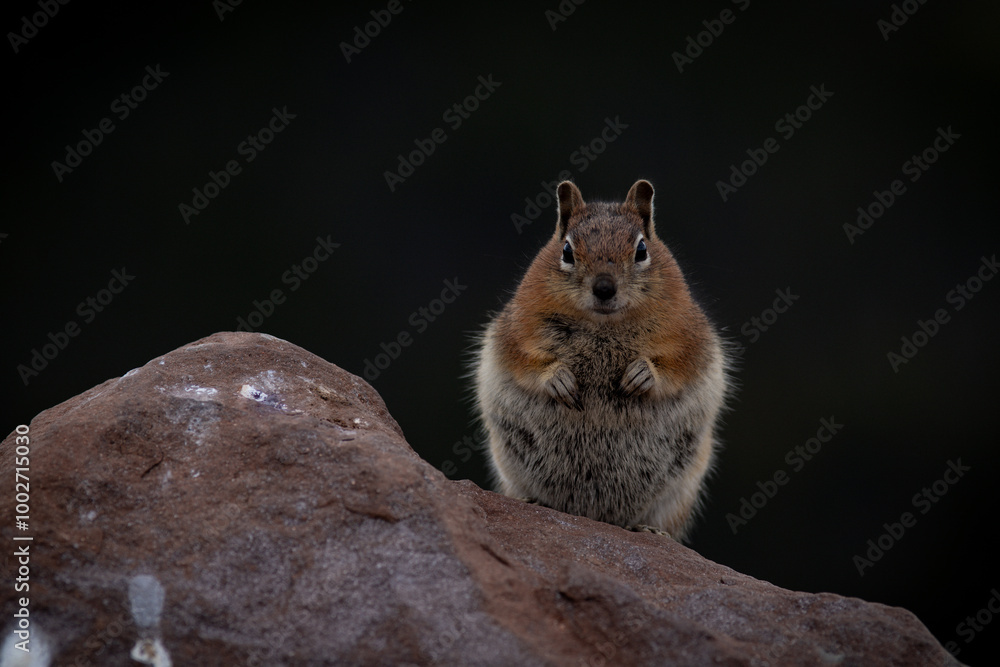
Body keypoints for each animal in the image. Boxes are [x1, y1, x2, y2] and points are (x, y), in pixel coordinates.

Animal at [472, 180, 728, 540]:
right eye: (567, 251)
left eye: (641, 250)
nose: (604, 288)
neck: (604, 325)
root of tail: (593, 516)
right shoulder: (516, 330)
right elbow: (525, 360)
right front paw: (559, 380)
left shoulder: (690, 336)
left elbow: (678, 364)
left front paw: (641, 375)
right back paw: (530, 501)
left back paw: (649, 530)